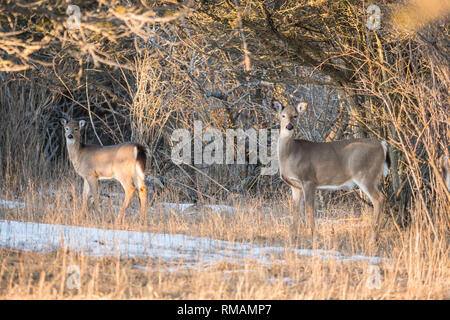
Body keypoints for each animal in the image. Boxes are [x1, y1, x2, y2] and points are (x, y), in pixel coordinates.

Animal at [274, 101, 390, 239]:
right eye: (283, 115)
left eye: (295, 116)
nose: (289, 126)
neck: (291, 154)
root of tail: (382, 145)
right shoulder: (295, 186)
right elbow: (295, 210)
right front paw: (293, 237)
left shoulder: (309, 180)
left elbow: (309, 208)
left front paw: (314, 235)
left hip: (366, 175)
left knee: (379, 199)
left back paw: (373, 236)